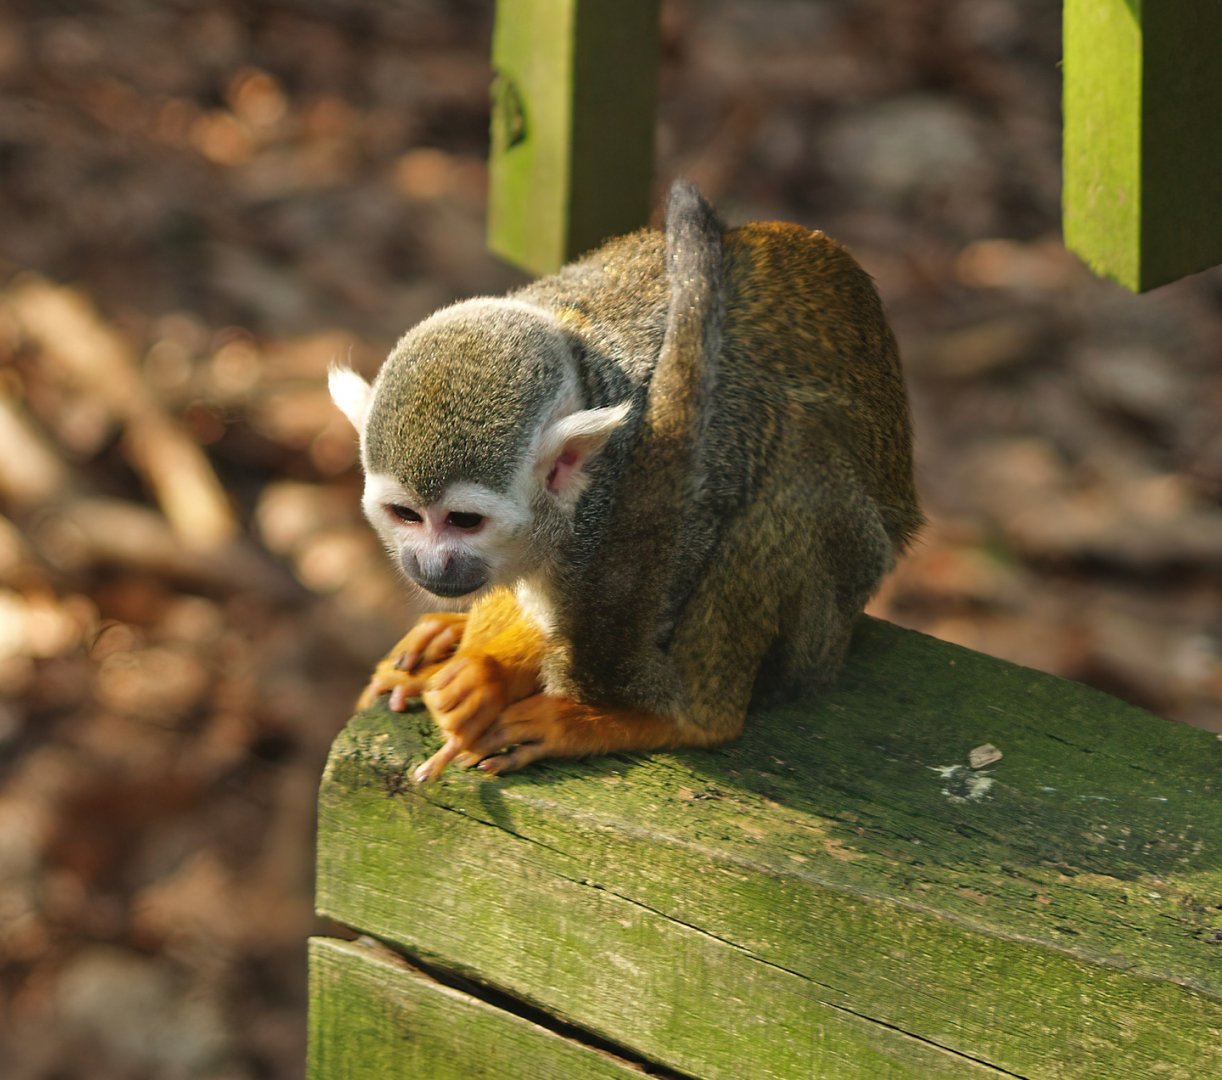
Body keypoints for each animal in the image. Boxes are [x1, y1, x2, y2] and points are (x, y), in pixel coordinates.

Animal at [329, 181, 921, 781]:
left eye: (464, 521)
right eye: (407, 516)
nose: (431, 566)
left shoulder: (650, 483)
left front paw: (493, 671)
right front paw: (486, 661)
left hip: (830, 612)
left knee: (796, 460)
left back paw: (684, 720)